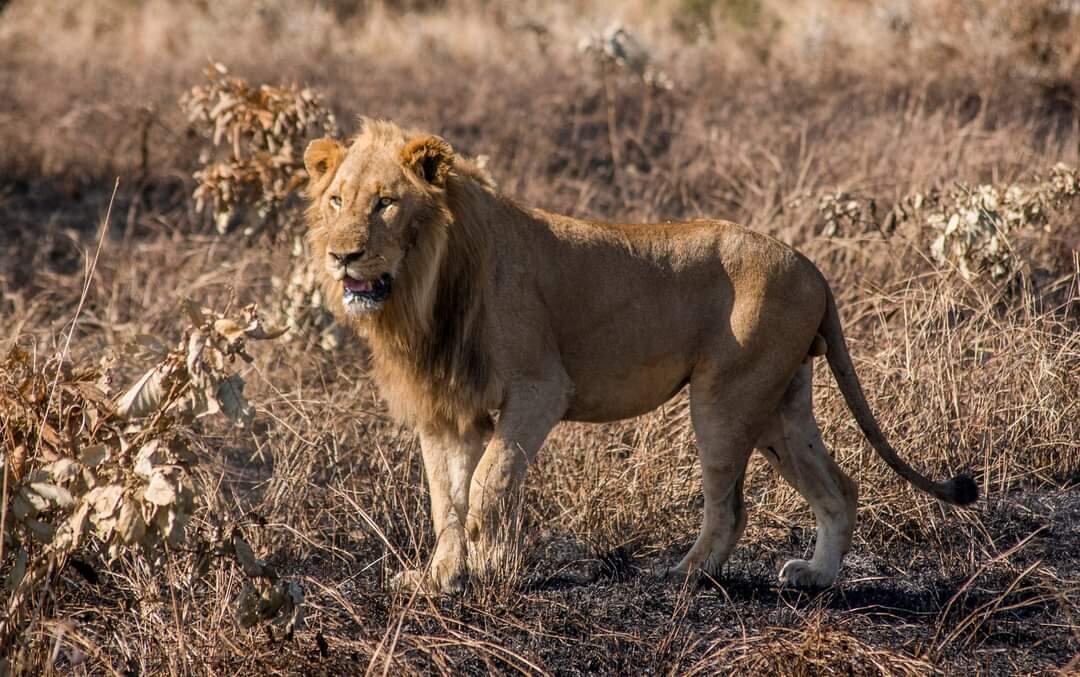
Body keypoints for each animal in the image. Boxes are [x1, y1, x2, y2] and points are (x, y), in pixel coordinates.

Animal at [304, 119, 980, 596]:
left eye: (385, 202)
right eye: (337, 201)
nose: (343, 256)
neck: (423, 291)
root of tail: (811, 266)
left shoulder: (540, 388)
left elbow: (490, 482)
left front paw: (492, 568)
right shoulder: (447, 408)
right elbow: (446, 497)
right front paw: (440, 578)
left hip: (726, 396)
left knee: (730, 505)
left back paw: (685, 574)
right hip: (781, 405)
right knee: (840, 486)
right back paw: (815, 575)